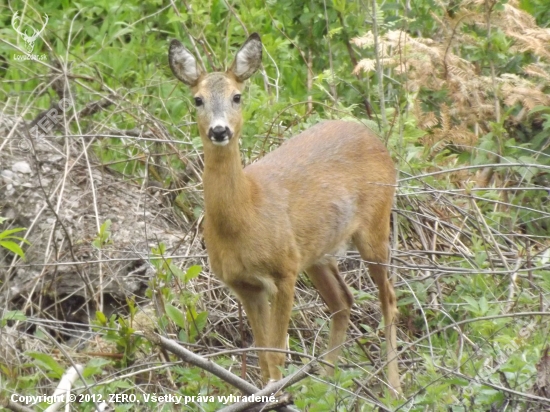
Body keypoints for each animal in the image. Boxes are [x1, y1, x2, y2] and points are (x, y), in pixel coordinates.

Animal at [168, 32, 402, 392]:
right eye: (197, 100)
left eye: (237, 96)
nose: (219, 131)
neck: (246, 213)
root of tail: (376, 139)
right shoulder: (244, 284)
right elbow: (264, 357)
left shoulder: (284, 270)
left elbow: (277, 354)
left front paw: (279, 395)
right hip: (316, 253)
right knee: (343, 302)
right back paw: (325, 385)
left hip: (375, 224)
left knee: (388, 298)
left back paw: (393, 389)